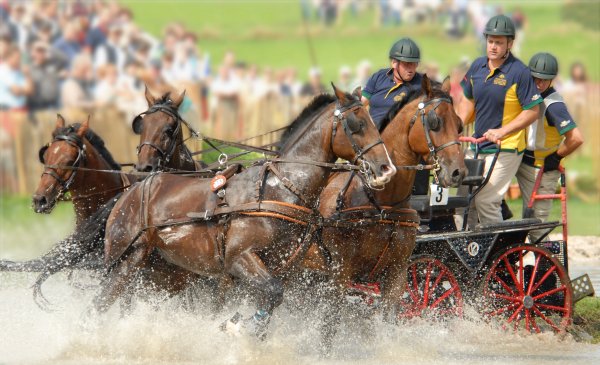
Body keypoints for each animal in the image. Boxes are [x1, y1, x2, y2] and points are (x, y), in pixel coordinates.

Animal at [84, 84, 394, 338]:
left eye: (372, 122)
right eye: (356, 124)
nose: (385, 168)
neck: (277, 190)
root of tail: (131, 191)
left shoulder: (285, 270)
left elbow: (275, 297)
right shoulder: (239, 259)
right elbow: (273, 293)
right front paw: (238, 326)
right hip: (123, 261)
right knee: (99, 304)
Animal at [300, 74, 468, 344]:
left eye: (460, 125)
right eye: (435, 122)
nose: (457, 172)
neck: (382, 202)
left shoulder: (397, 273)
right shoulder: (340, 273)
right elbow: (330, 325)